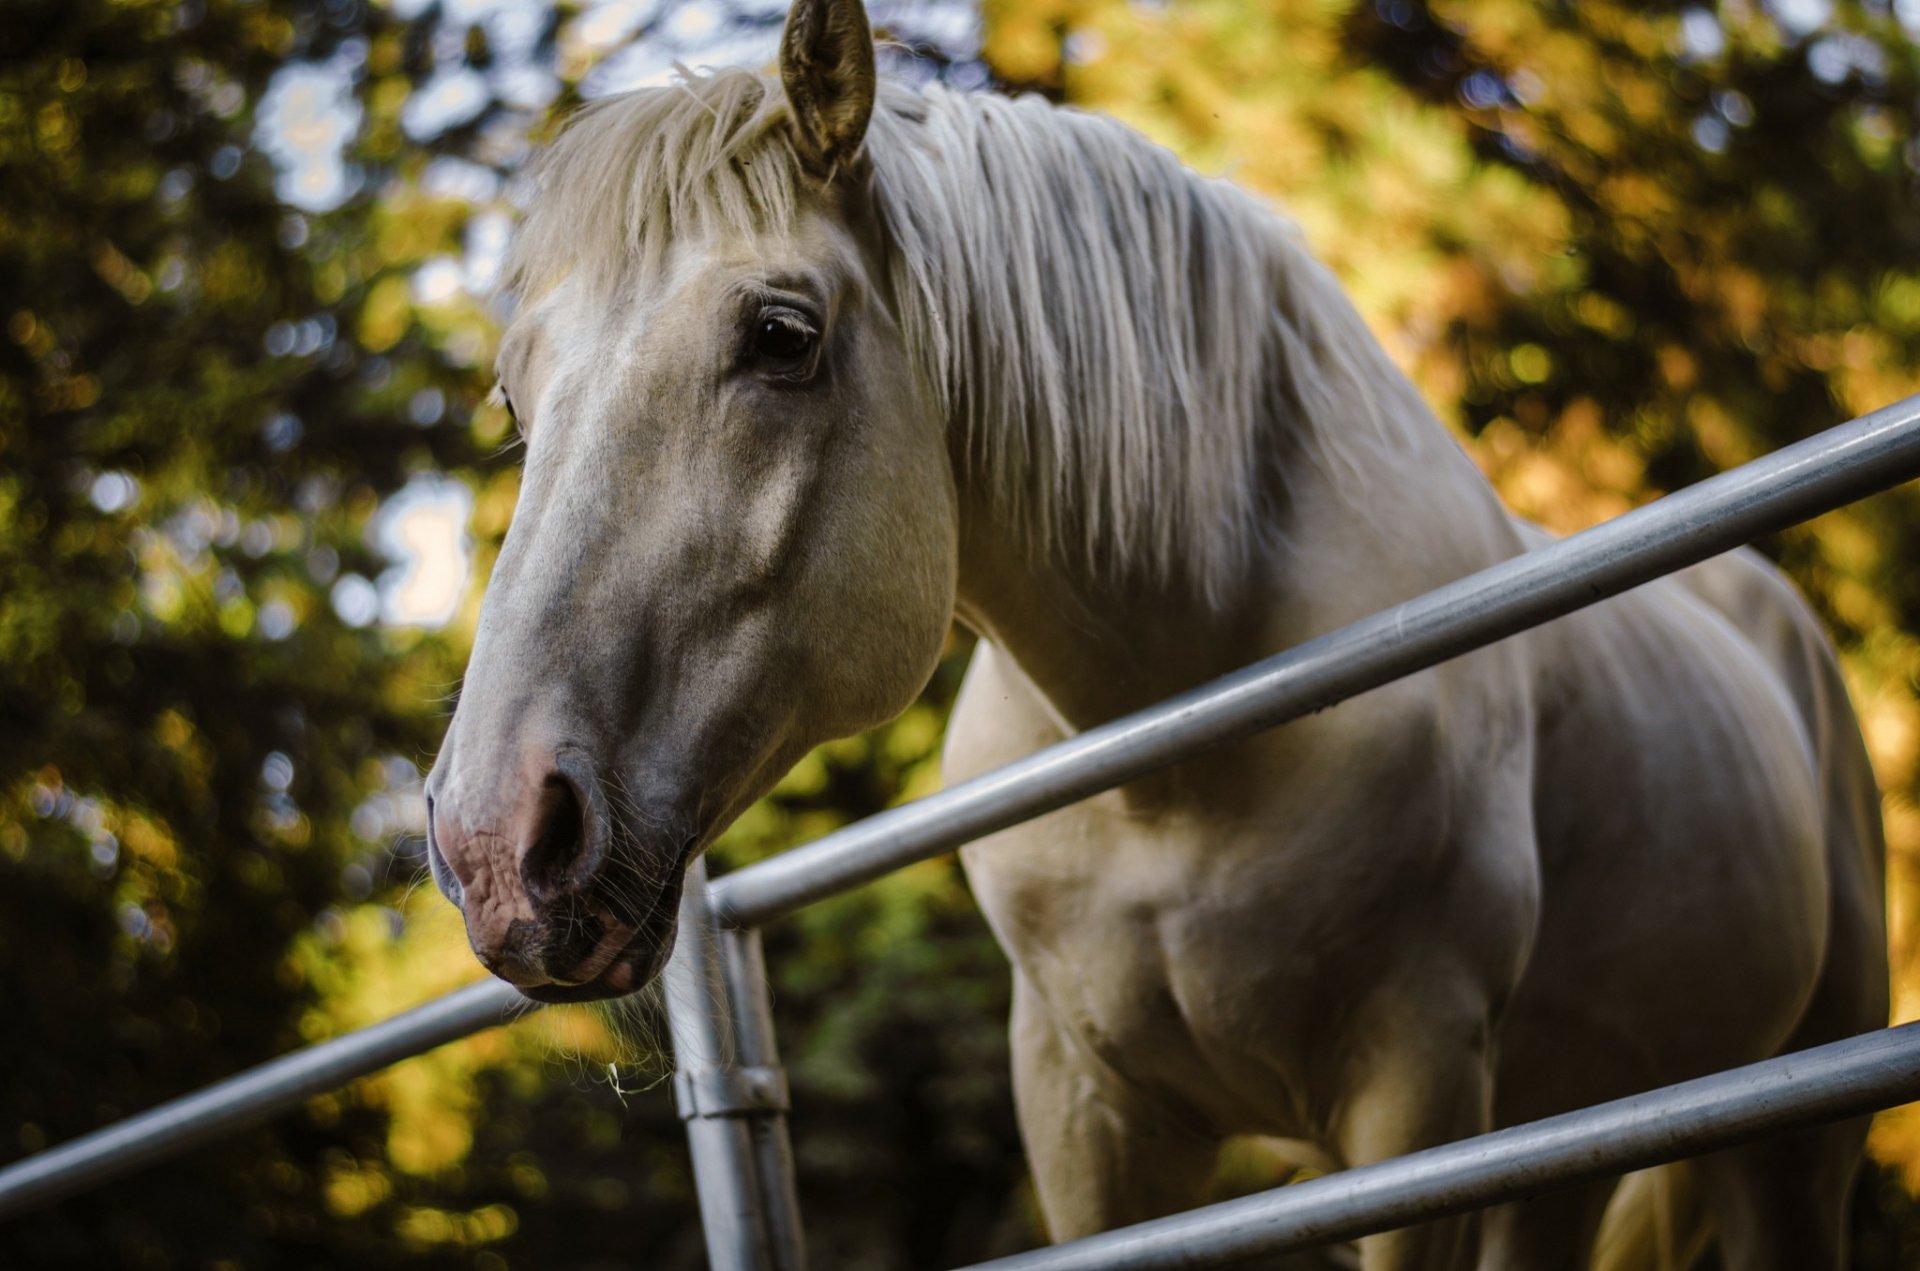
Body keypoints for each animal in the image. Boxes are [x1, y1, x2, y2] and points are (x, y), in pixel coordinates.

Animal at [421, 1, 1889, 1265]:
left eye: (782, 333)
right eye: (517, 395)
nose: (497, 844)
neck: (1178, 746)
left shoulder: (1417, 1091)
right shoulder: (1085, 1110)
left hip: (1780, 1140)